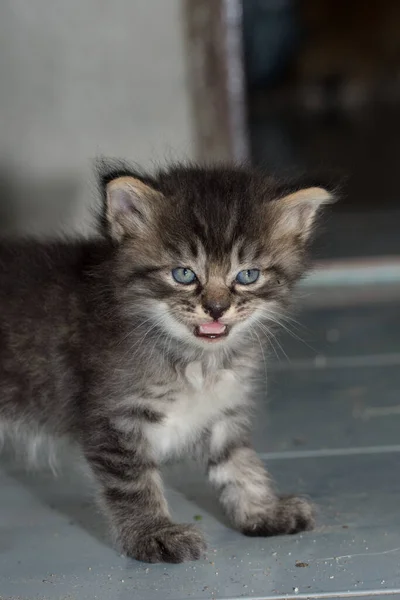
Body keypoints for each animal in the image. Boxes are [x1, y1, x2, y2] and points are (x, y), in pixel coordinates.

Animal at [0, 161, 332, 564]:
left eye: (248, 275)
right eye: (184, 274)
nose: (216, 309)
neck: (196, 362)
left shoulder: (224, 411)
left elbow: (240, 464)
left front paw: (263, 511)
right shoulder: (115, 419)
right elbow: (134, 486)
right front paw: (154, 535)